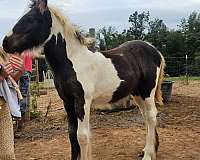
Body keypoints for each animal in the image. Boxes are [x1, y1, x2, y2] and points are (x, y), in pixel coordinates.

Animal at [2, 0, 166, 159]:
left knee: (151, 116)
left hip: (147, 92)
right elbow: (72, 135)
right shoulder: (67, 101)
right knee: (146, 116)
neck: (74, 61)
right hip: (137, 93)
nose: (5, 43)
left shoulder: (82, 101)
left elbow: (82, 136)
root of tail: (155, 50)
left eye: (30, 19)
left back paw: (148, 155)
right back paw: (147, 150)